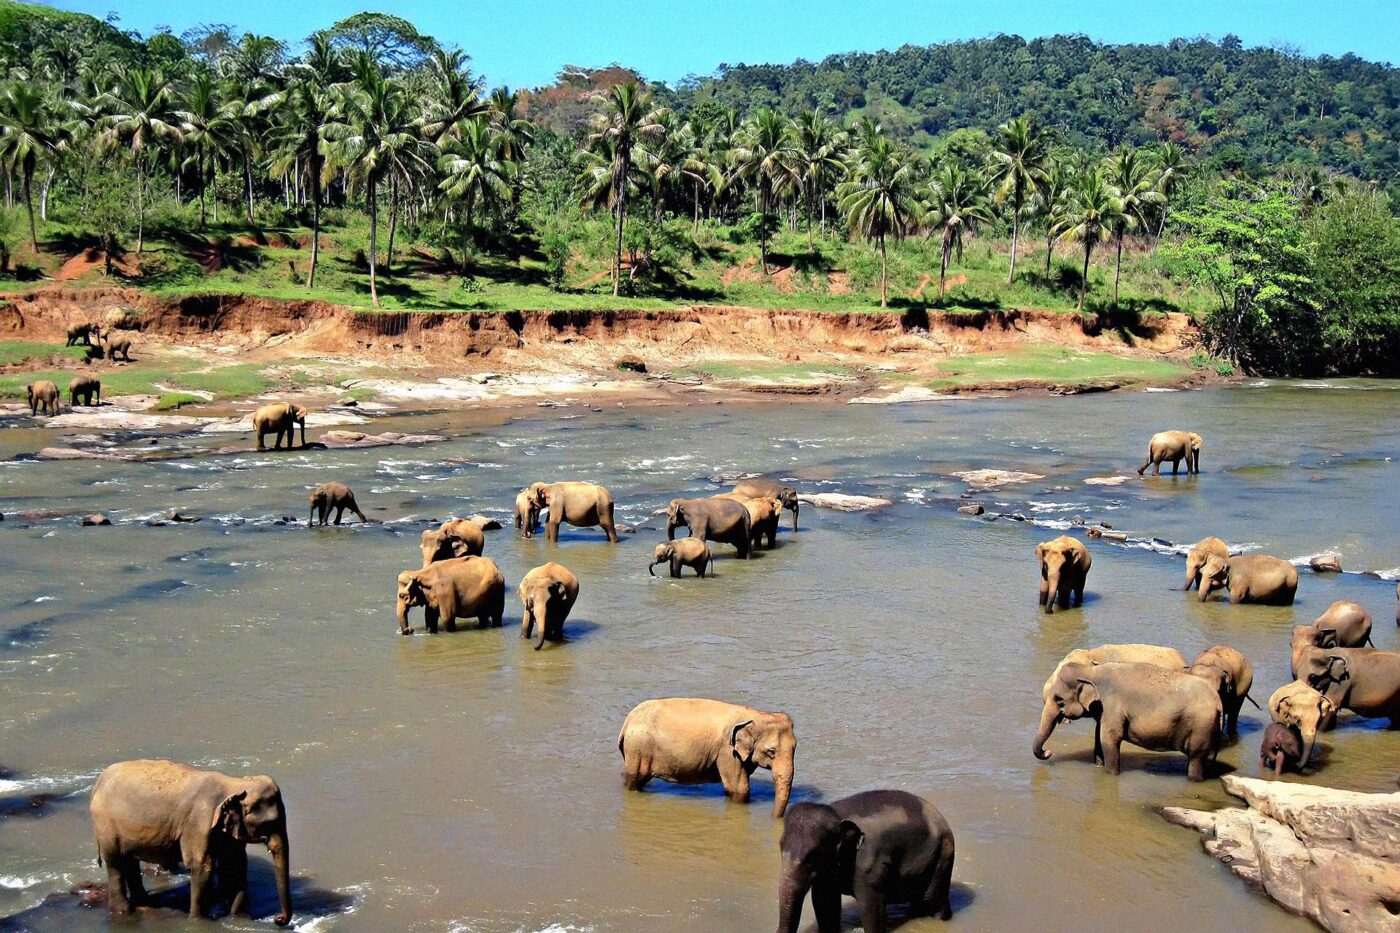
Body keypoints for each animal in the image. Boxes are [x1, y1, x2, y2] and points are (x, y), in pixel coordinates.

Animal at [89, 759, 291, 926]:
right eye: (269, 823)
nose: (278, 919)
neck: (235, 784)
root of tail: (98, 782)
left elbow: (235, 865)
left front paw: (240, 918)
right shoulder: (199, 824)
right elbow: (202, 865)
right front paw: (199, 921)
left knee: (129, 860)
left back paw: (145, 902)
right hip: (105, 824)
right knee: (115, 862)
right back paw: (124, 911)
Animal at [618, 697, 795, 817]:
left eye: (795, 748)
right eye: (771, 752)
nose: (772, 818)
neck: (757, 715)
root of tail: (627, 722)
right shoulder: (727, 751)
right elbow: (739, 788)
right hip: (638, 749)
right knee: (633, 780)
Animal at [777, 790, 955, 933]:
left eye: (812, 856)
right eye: (780, 847)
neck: (835, 813)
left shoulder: (868, 864)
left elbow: (871, 908)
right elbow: (824, 902)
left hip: (943, 855)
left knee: (934, 901)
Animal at [1033, 661, 1222, 781]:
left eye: (1059, 700)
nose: (1048, 752)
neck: (1091, 671)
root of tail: (1218, 703)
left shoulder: (1112, 706)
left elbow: (1109, 740)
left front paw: (1111, 775)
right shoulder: (1103, 711)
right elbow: (1098, 739)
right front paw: (1098, 767)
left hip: (1201, 726)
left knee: (1196, 758)